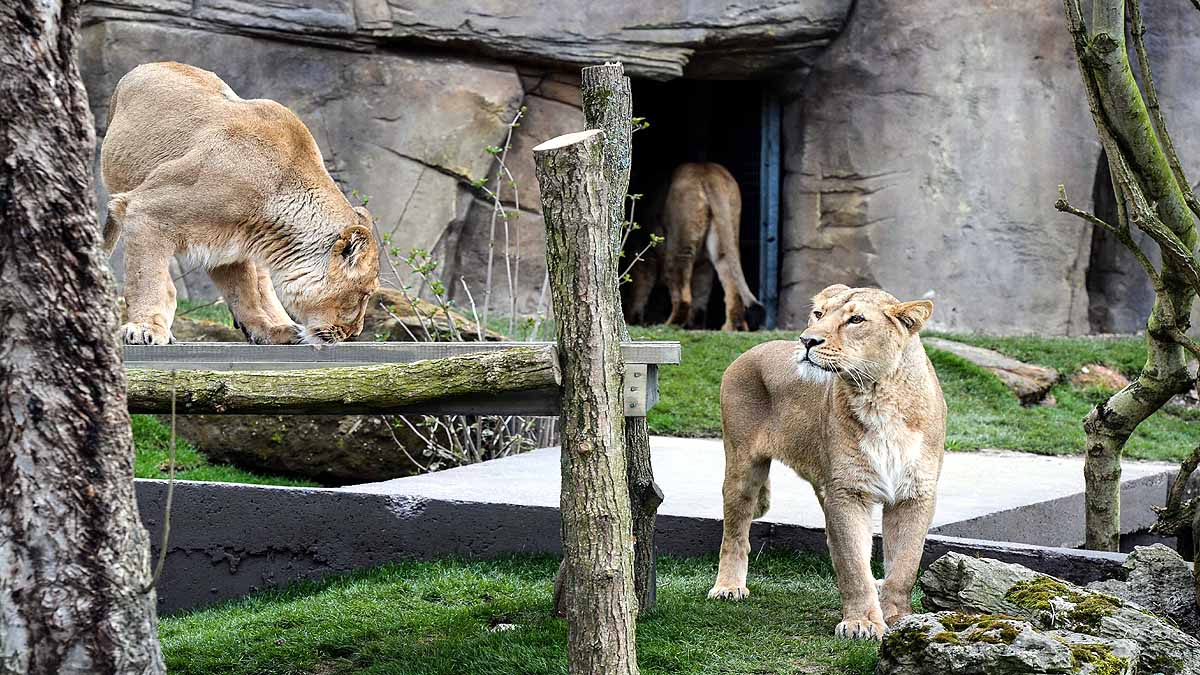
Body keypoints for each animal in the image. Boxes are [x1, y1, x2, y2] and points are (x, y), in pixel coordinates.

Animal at [101, 62, 380, 345]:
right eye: (364, 294)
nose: (353, 333)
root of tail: (147, 64)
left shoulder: (228, 248)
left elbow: (245, 293)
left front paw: (264, 331)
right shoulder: (146, 210)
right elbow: (148, 277)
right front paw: (146, 328)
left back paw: (284, 328)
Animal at [625, 163, 763, 331]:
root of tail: (707, 172)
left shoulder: (642, 252)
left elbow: (638, 288)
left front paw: (631, 320)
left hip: (680, 243)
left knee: (684, 298)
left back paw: (667, 326)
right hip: (724, 235)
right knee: (728, 284)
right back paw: (728, 328)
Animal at [708, 284, 946, 641]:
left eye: (856, 320)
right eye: (818, 314)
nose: (807, 340)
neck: (880, 396)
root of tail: (753, 349)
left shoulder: (914, 494)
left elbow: (905, 564)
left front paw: (897, 616)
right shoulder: (847, 493)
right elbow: (853, 563)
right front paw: (862, 622)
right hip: (742, 465)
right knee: (735, 532)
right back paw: (728, 587)